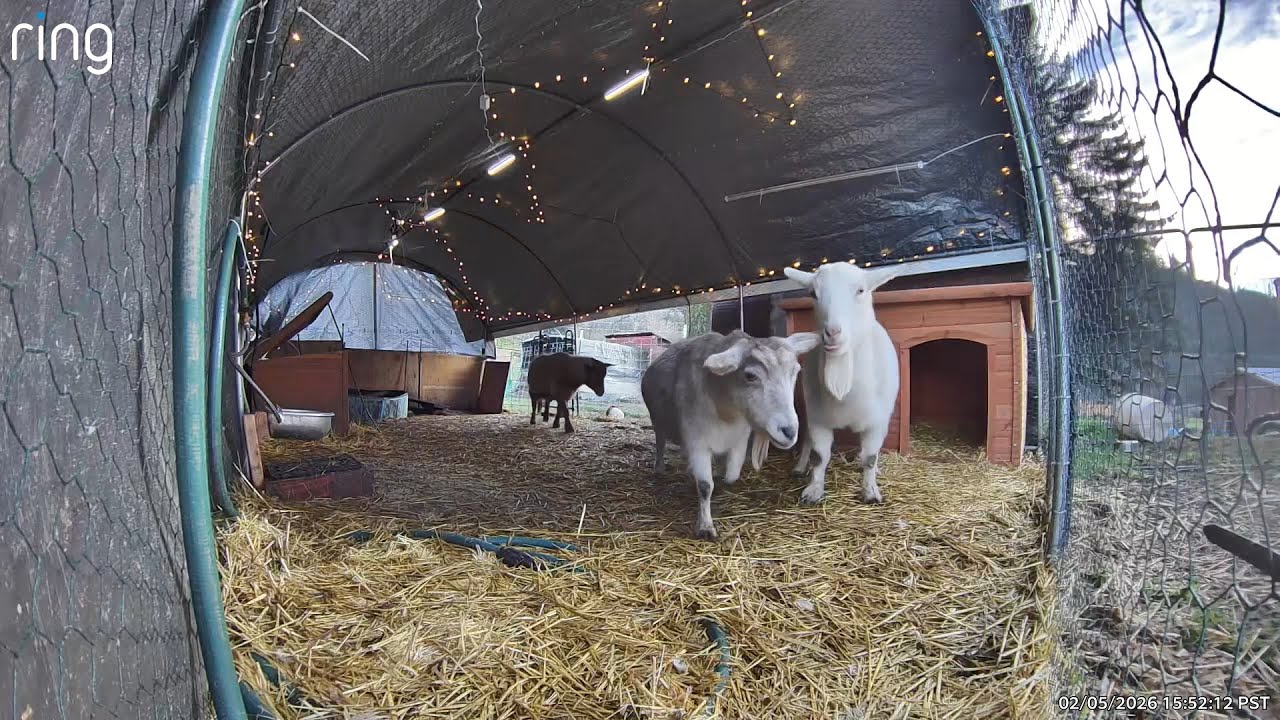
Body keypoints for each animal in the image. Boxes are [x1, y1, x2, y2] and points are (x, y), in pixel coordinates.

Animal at [642, 330, 820, 540]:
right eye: (750, 376)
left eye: (795, 372)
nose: (790, 431)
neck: (724, 409)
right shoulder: (697, 442)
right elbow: (705, 485)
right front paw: (705, 527)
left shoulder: (739, 440)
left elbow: (731, 475)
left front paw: (720, 478)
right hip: (657, 422)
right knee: (660, 443)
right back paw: (659, 467)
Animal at [783, 263, 903, 505]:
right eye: (813, 293)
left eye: (861, 290)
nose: (832, 332)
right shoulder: (818, 418)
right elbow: (820, 456)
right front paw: (813, 490)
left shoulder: (878, 422)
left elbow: (870, 457)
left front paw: (870, 491)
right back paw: (799, 468)